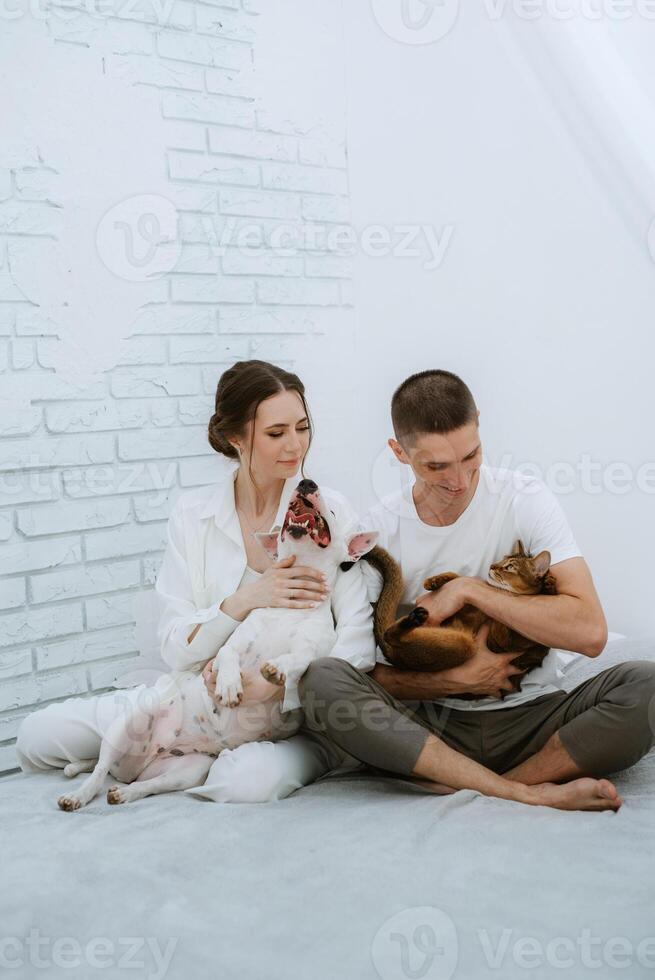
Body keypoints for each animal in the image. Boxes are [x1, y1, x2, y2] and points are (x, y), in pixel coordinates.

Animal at [58, 476, 376, 812]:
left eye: (332, 510)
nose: (306, 482)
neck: (286, 608)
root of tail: (136, 764)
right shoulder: (235, 643)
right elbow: (227, 654)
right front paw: (227, 685)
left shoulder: (313, 649)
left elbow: (299, 658)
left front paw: (277, 669)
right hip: (127, 724)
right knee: (99, 769)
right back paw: (78, 794)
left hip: (188, 770)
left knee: (148, 784)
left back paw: (125, 793)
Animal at [366, 544, 556, 696]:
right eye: (502, 559)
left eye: (509, 567)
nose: (492, 566)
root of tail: (396, 658)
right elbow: (462, 579)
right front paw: (434, 581)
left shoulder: (503, 640)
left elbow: (503, 613)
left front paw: (549, 585)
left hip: (464, 645)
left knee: (390, 636)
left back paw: (413, 619)